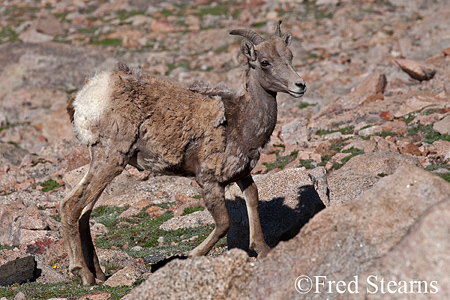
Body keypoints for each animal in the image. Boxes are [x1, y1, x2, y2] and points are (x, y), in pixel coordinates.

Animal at [59, 21, 306, 284]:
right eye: (265, 62)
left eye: (290, 56)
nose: (300, 86)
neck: (240, 120)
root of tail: (85, 99)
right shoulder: (208, 180)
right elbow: (224, 224)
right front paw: (191, 255)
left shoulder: (242, 175)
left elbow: (252, 198)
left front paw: (263, 250)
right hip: (110, 159)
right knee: (70, 205)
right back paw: (83, 273)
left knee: (84, 212)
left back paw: (99, 274)